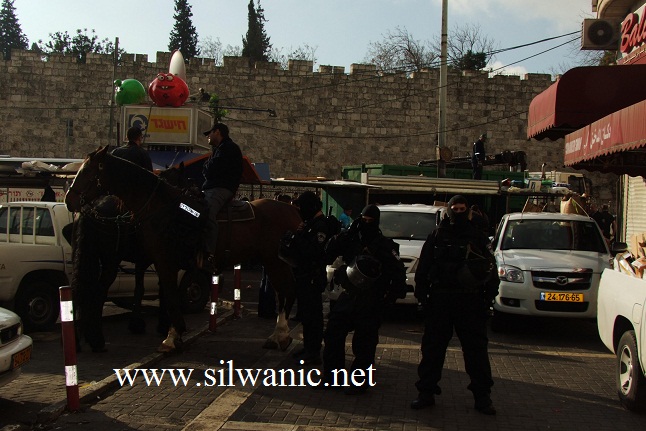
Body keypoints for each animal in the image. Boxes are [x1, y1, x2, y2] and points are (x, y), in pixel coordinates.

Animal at [65, 146, 300, 353]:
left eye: (87, 171)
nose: (69, 199)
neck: (162, 207)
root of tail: (293, 211)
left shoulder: (165, 262)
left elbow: (169, 296)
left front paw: (171, 336)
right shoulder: (162, 263)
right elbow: (166, 294)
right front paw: (171, 332)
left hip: (274, 261)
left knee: (287, 290)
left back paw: (279, 335)